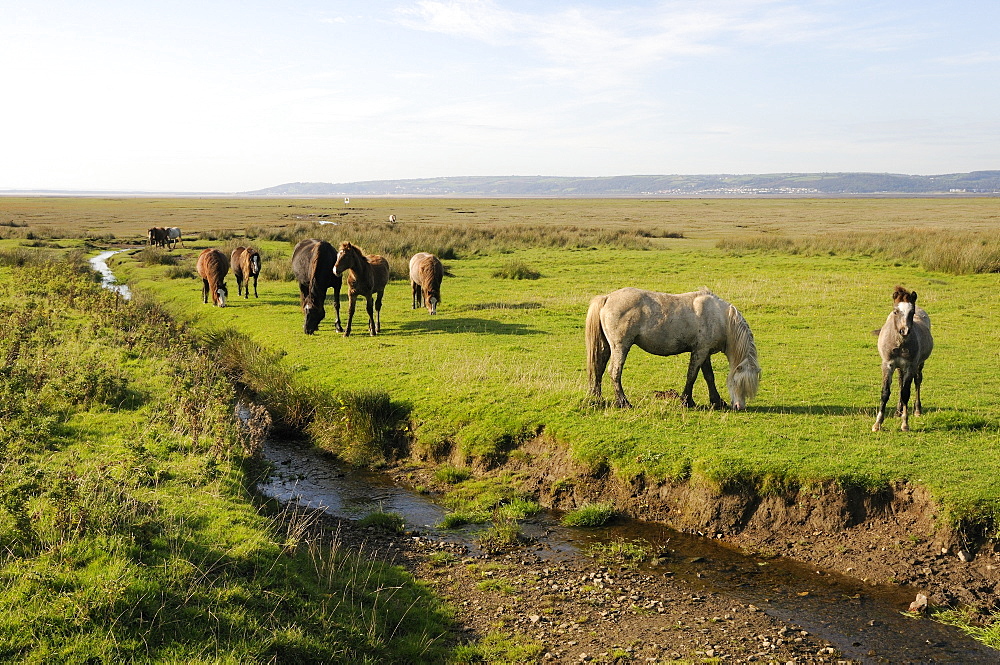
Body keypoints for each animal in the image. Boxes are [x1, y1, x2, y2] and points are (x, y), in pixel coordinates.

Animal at [584, 286, 756, 408]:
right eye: (738, 382)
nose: (739, 406)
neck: (721, 318)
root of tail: (607, 298)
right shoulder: (700, 351)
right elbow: (692, 376)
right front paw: (687, 401)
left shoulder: (704, 352)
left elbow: (709, 376)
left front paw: (717, 401)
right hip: (620, 347)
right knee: (614, 371)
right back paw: (624, 402)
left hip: (608, 346)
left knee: (599, 368)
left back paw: (597, 399)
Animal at [872, 284, 932, 430]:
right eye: (895, 311)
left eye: (912, 311)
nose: (904, 330)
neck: (900, 344)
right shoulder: (888, 364)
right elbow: (885, 392)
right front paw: (877, 423)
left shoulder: (910, 366)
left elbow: (906, 393)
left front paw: (905, 424)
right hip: (899, 367)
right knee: (900, 381)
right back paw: (898, 411)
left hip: (919, 364)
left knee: (917, 380)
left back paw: (917, 410)